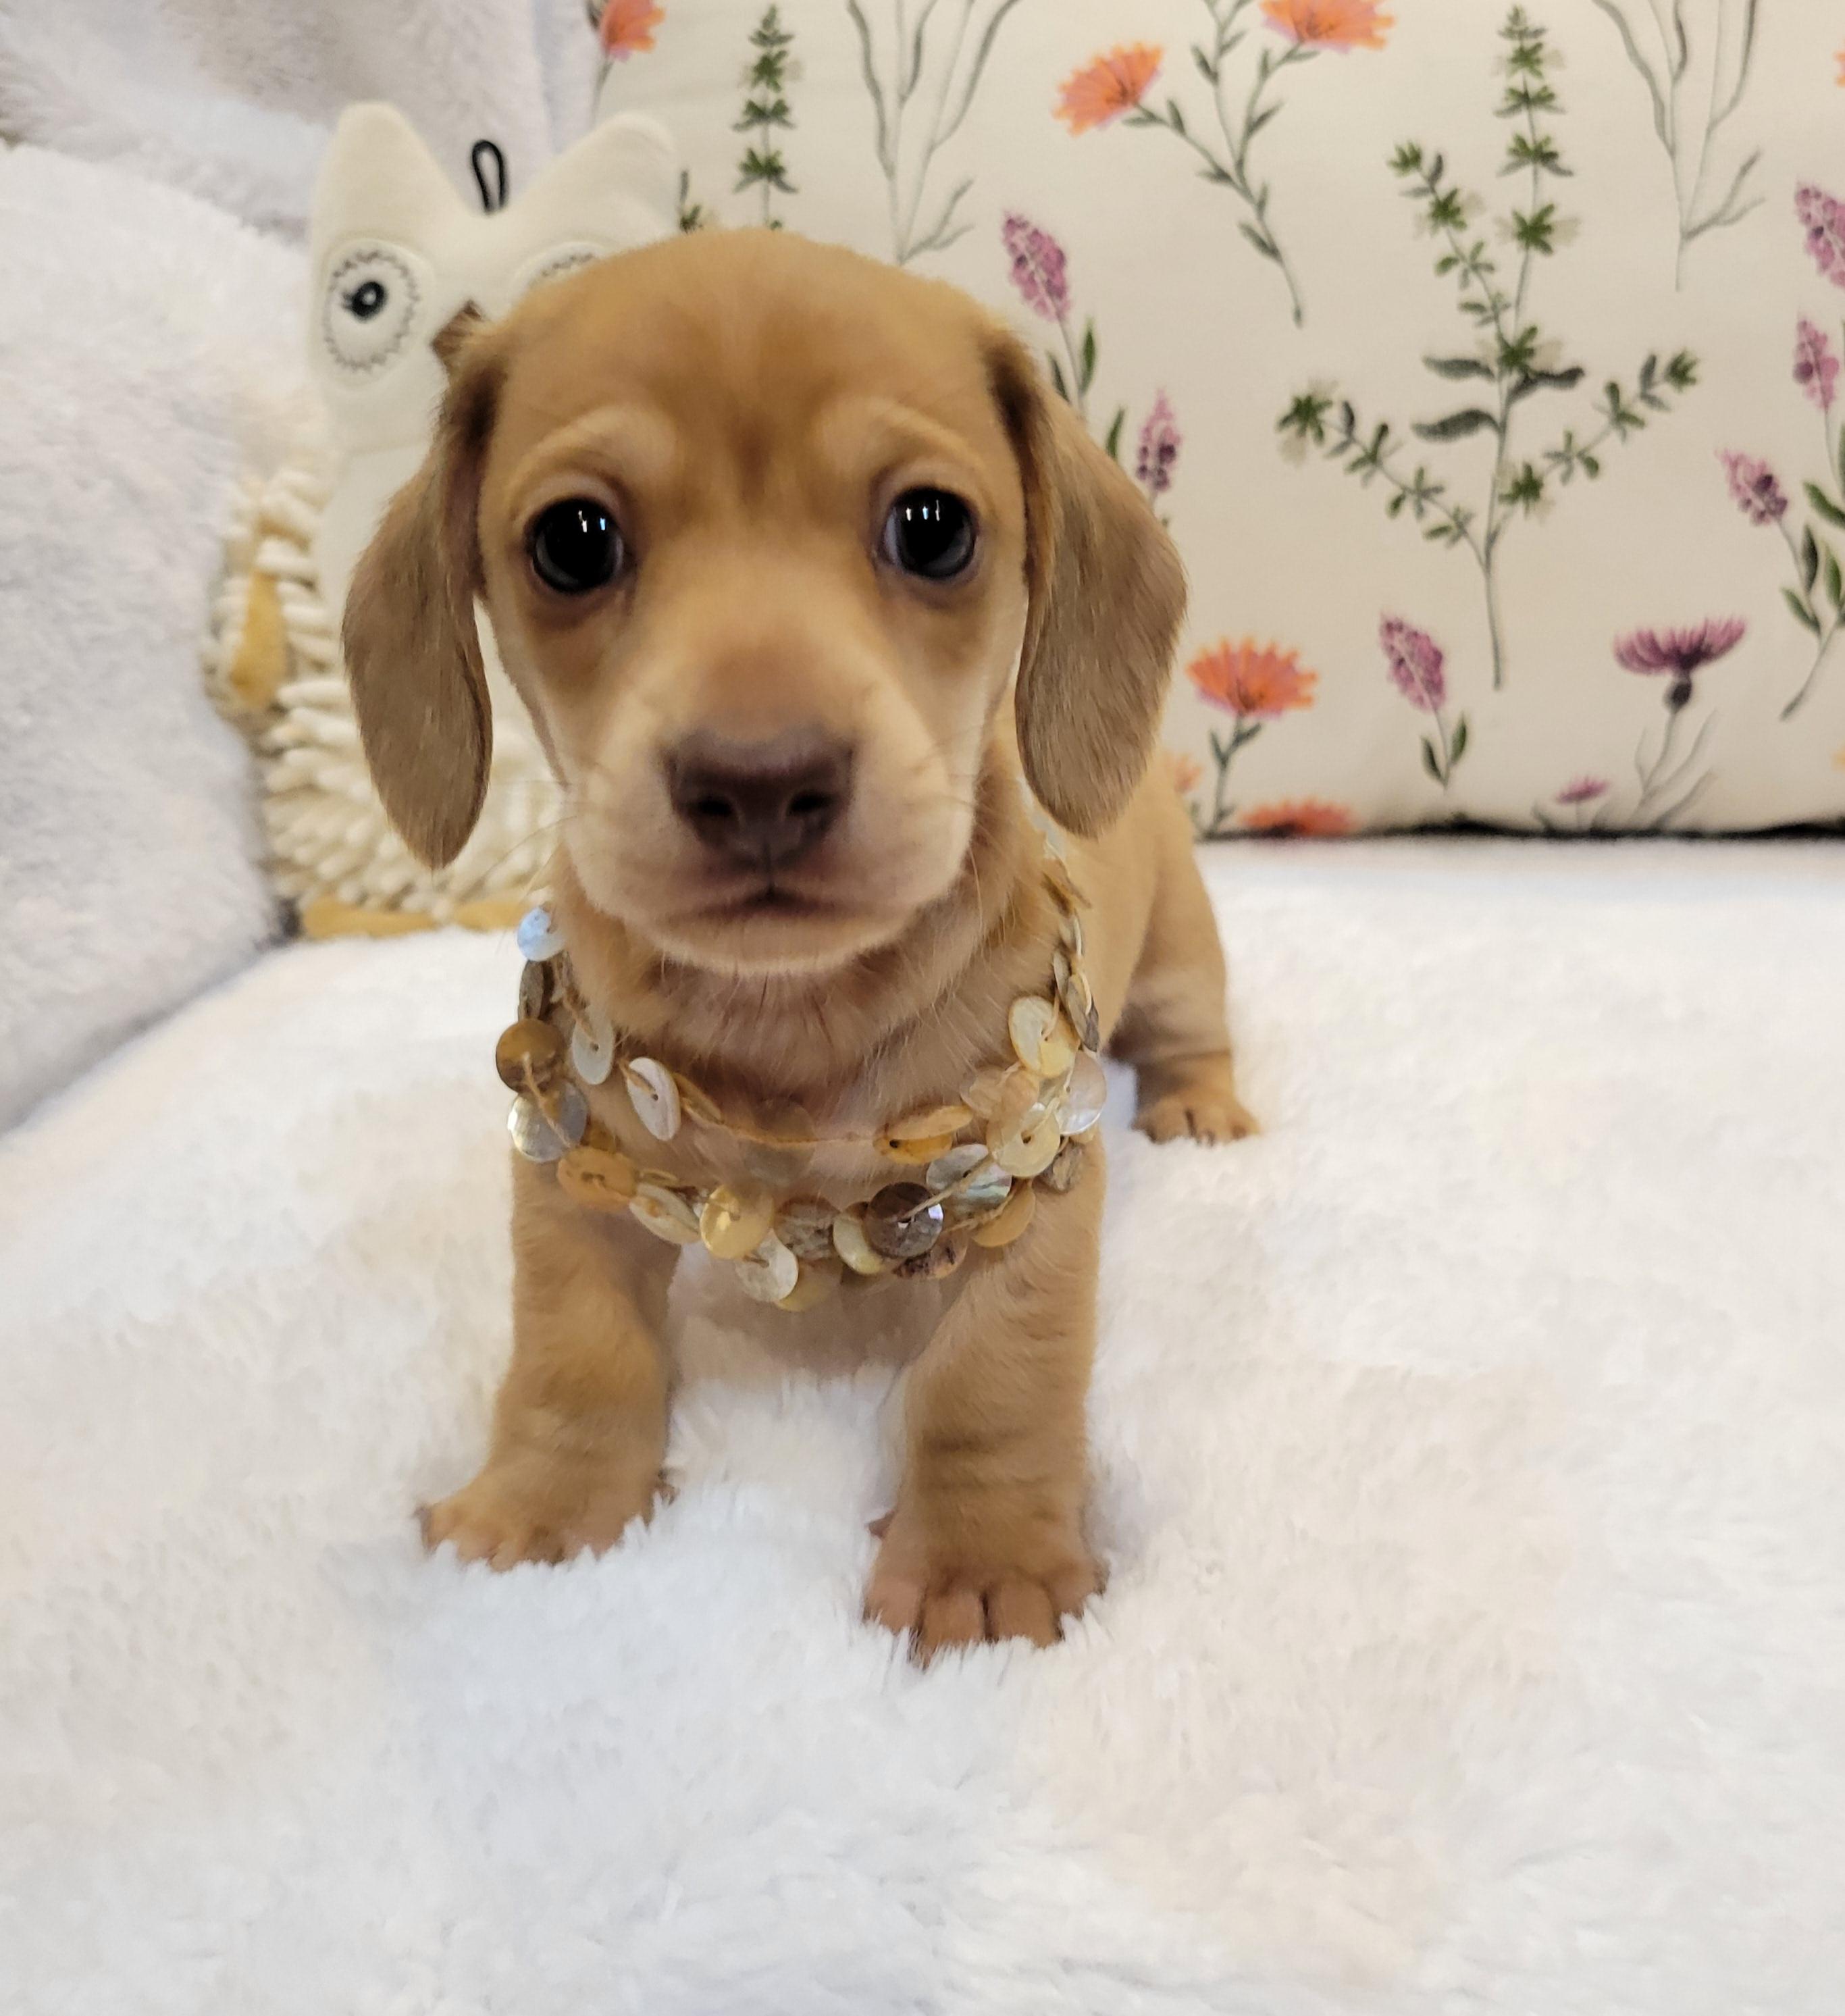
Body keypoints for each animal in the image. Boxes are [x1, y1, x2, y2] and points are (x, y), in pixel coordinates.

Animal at [343, 228, 1256, 1656]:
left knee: (1192, 1033)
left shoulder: (1037, 1184)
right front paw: (543, 1506)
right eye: (572, 541)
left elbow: (993, 1377)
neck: (792, 1016)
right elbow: (573, 1349)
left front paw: (983, 1560)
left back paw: (1201, 1107)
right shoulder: (569, 1168)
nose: (760, 780)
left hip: (1177, 959)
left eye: (933, 527)